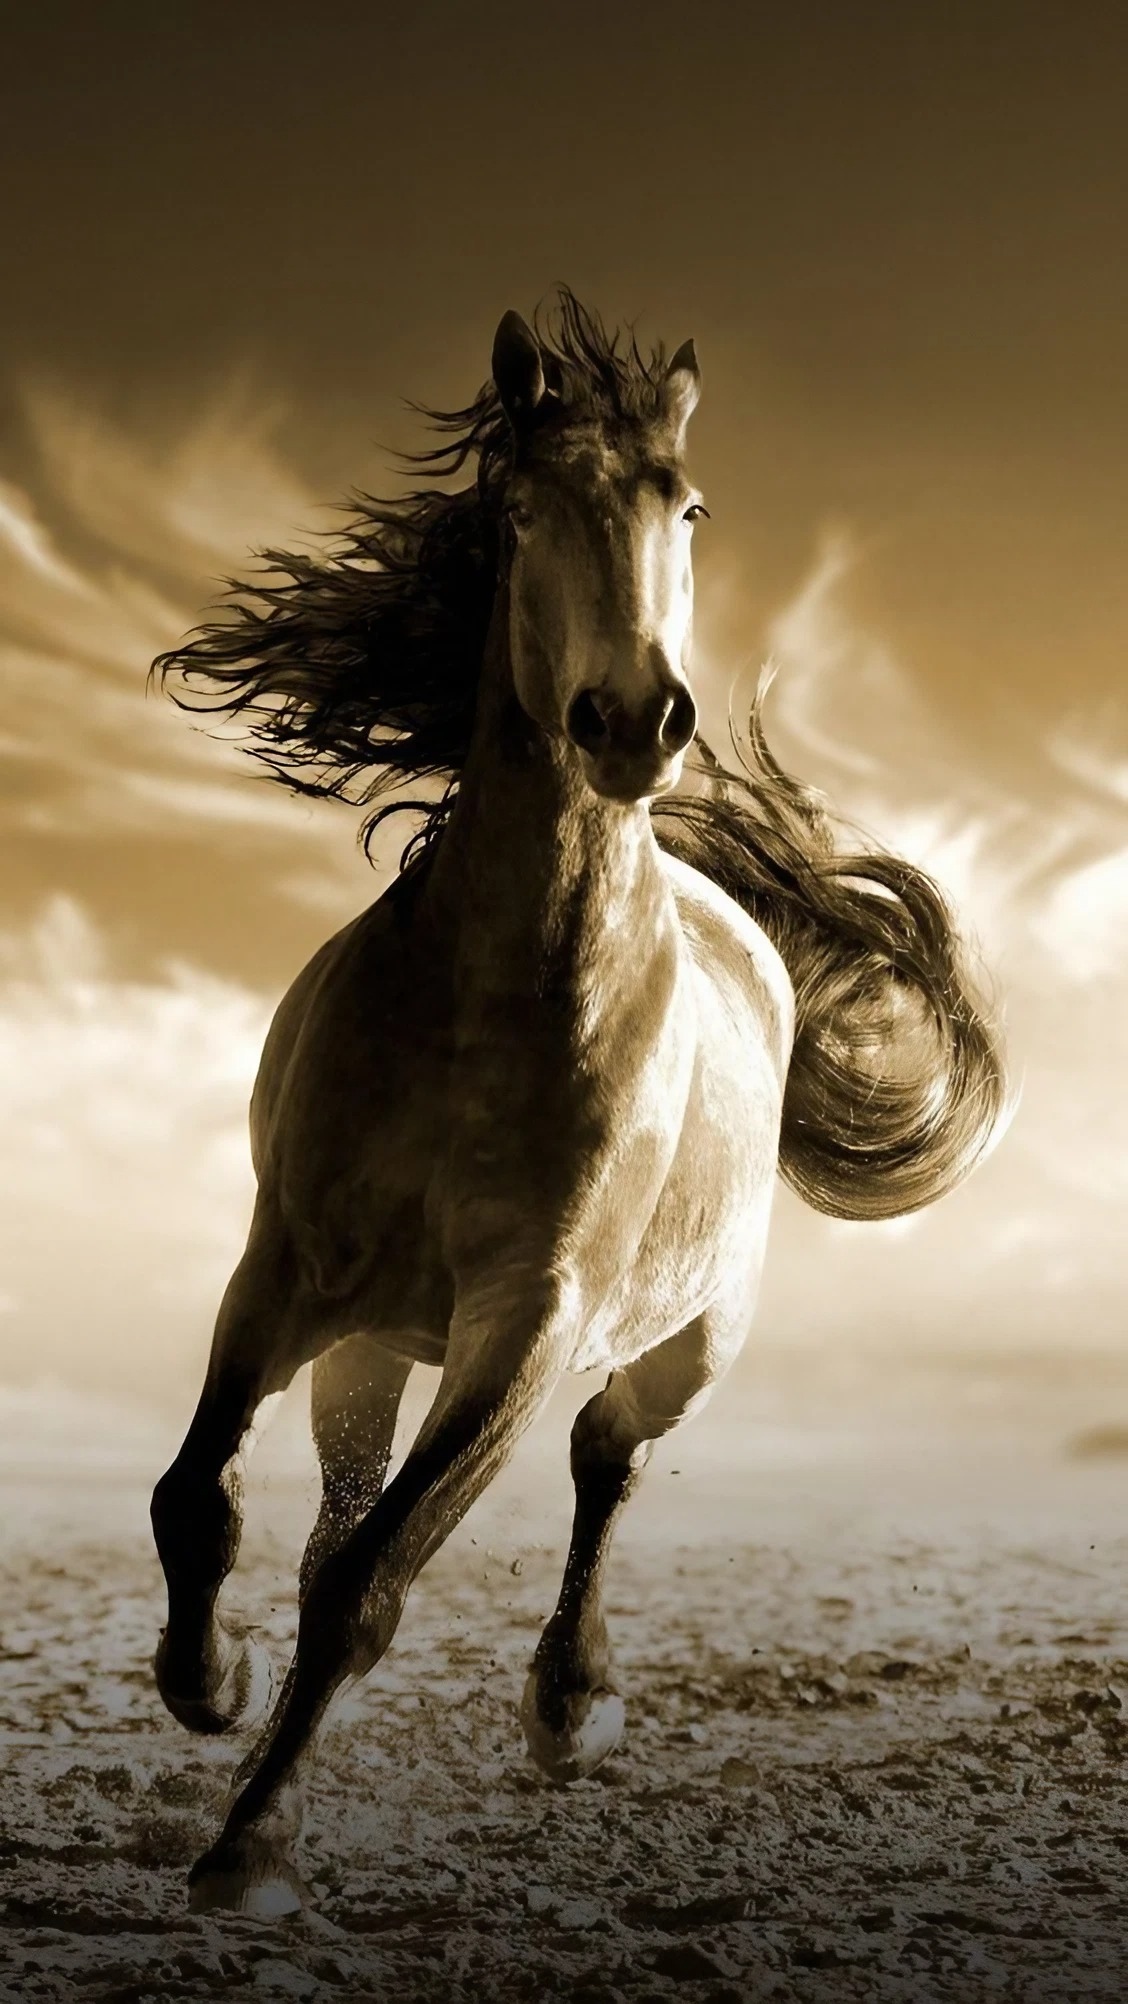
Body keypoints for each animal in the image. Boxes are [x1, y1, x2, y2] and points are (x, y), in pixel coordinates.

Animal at [149, 291, 1005, 1916]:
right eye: (523, 506)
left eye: (690, 505)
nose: (633, 719)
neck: (493, 1000)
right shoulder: (282, 1269)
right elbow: (204, 1503)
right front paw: (209, 1686)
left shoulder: (527, 1322)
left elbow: (372, 1586)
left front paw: (250, 1847)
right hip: (375, 1341)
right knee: (342, 1491)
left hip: (688, 1340)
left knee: (608, 1460)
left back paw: (572, 1703)